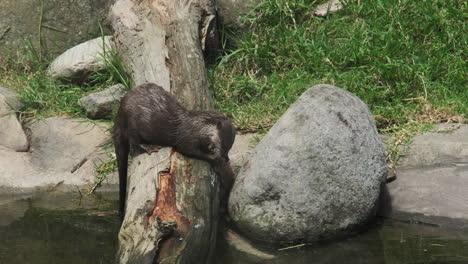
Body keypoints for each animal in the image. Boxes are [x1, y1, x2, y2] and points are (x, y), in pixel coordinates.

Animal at [113, 83, 236, 216]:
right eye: (223, 145)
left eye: (230, 147)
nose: (226, 158)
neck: (198, 127)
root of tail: (120, 110)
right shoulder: (187, 140)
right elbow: (190, 150)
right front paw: (215, 158)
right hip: (133, 123)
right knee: (134, 142)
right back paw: (150, 147)